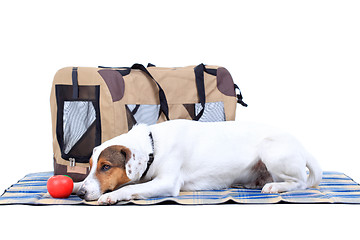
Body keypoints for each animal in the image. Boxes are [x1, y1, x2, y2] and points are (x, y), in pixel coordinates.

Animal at [74, 119, 322, 204]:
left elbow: (129, 189)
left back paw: (275, 187)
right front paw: (77, 185)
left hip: (271, 149)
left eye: (106, 167)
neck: (153, 146)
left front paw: (111, 196)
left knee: (300, 183)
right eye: (90, 166)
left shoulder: (167, 182)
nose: (82, 194)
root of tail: (302, 145)